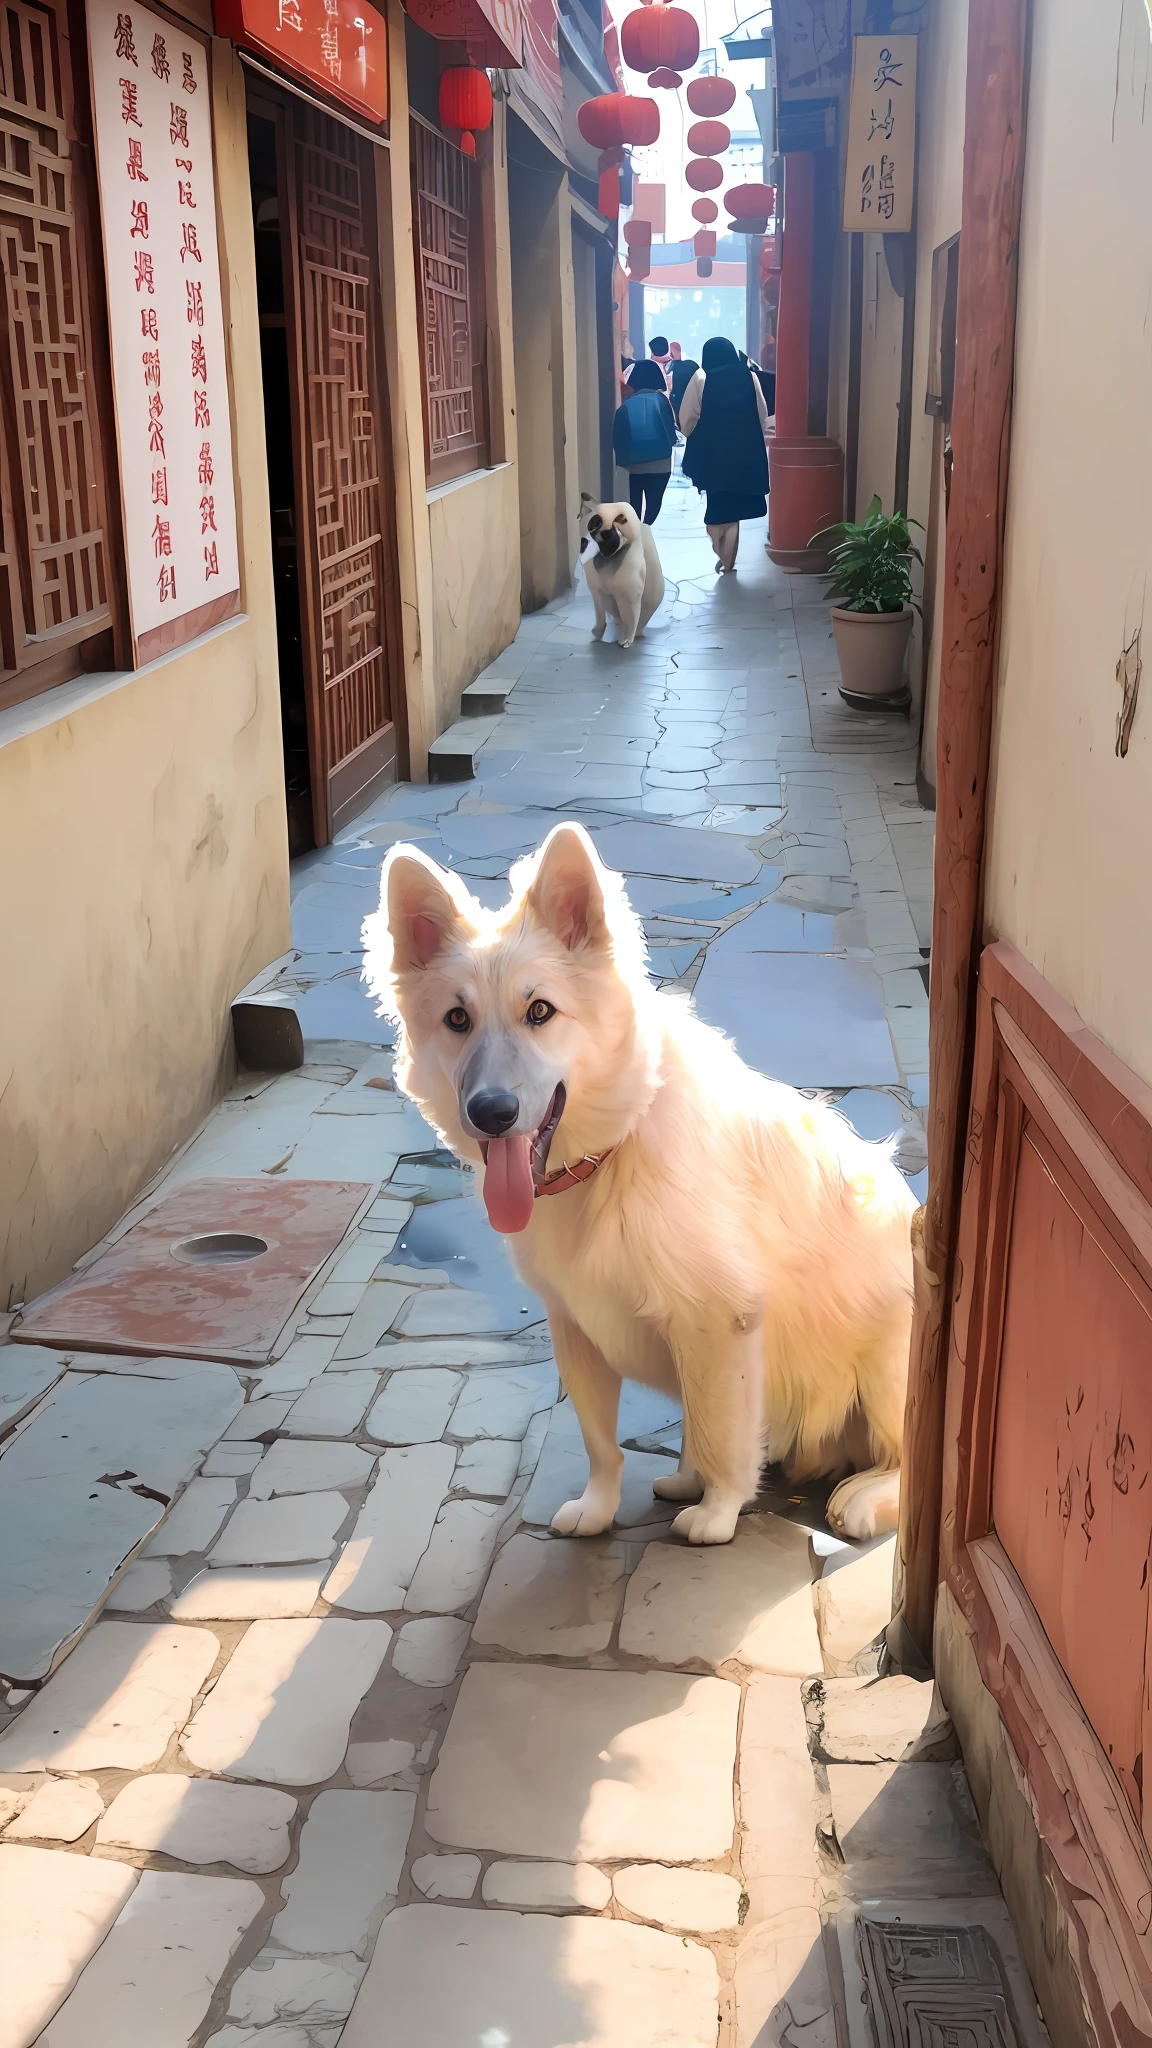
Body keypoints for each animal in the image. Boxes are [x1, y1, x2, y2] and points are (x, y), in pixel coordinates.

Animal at [578, 493, 660, 643]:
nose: (584, 495)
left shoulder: (630, 594)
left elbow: (632, 614)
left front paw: (626, 640)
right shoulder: (597, 589)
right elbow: (599, 610)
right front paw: (597, 631)